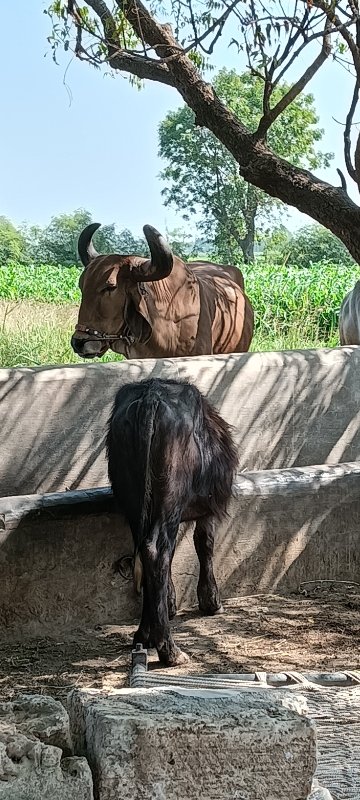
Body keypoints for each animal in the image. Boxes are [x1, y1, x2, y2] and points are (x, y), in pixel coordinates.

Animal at [105, 378, 238, 664]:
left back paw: (144, 635)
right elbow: (204, 544)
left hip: (135, 503)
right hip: (170, 502)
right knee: (156, 552)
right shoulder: (207, 511)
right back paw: (170, 651)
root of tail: (150, 397)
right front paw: (211, 601)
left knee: (146, 552)